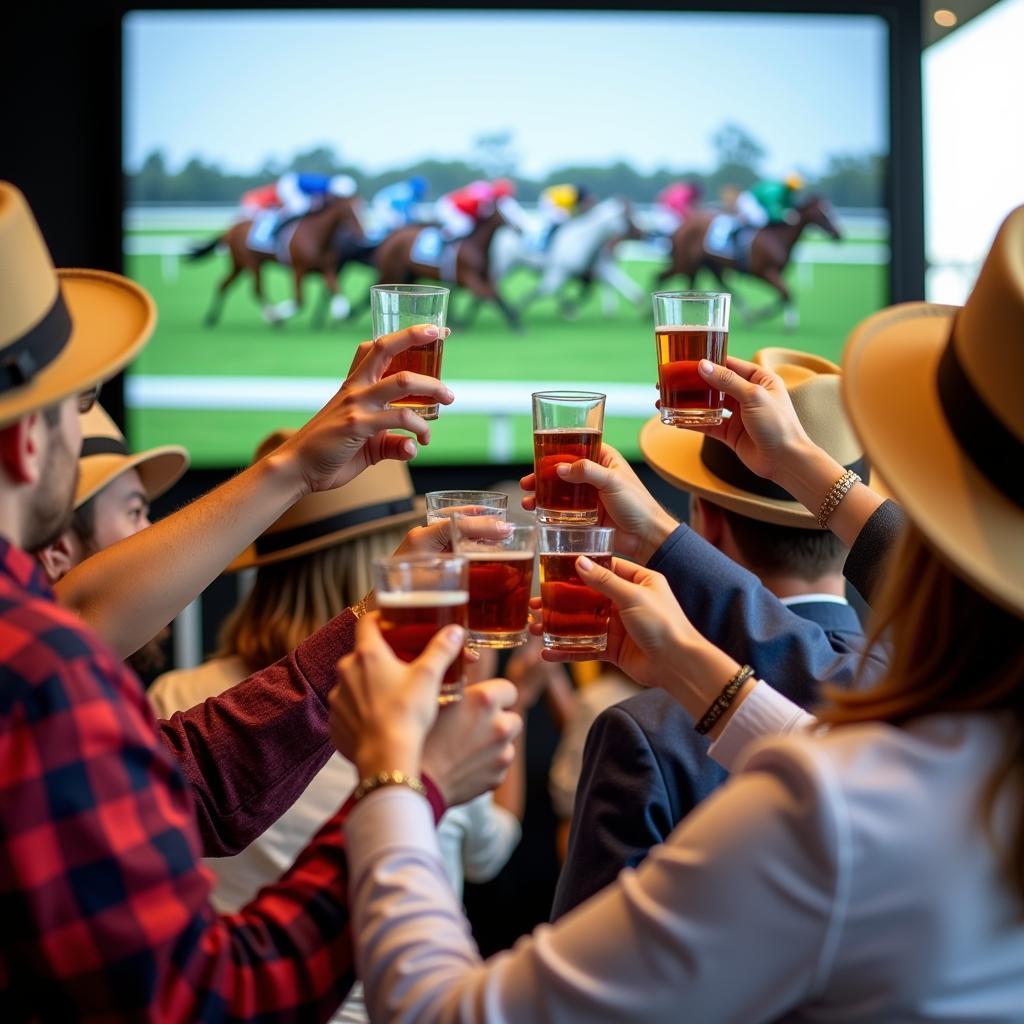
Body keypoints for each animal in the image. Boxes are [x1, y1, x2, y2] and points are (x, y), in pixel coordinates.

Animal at [190, 197, 366, 325]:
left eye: (362, 210)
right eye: (349, 212)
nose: (362, 235)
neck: (316, 236)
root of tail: (230, 230)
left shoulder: (327, 269)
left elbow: (337, 291)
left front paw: (340, 312)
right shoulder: (298, 270)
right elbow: (299, 301)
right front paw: (279, 315)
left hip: (239, 264)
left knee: (223, 284)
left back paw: (211, 318)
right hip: (252, 263)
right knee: (257, 290)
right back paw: (273, 317)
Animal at [374, 210, 520, 329]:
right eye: (507, 211)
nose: (519, 228)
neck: (474, 244)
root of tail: (390, 237)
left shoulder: (484, 277)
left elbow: (496, 296)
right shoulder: (468, 276)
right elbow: (489, 295)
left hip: (409, 275)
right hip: (394, 271)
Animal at [485, 194, 638, 315]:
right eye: (628, 215)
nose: (642, 232)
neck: (584, 239)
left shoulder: (590, 269)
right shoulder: (561, 271)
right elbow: (545, 290)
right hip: (504, 264)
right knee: (494, 282)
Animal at [659, 195, 843, 327]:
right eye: (823, 212)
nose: (839, 235)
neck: (777, 237)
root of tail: (680, 228)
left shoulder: (775, 272)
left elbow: (784, 295)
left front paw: (765, 314)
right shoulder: (764, 271)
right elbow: (786, 293)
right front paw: (787, 323)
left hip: (709, 263)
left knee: (720, 284)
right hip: (686, 262)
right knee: (661, 277)